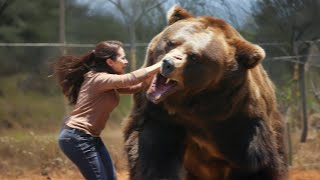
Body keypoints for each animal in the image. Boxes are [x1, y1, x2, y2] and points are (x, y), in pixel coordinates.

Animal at [122, 4, 288, 179]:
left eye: (194, 57)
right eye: (171, 42)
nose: (168, 64)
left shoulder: (239, 119)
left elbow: (254, 163)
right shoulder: (161, 114)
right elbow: (156, 152)